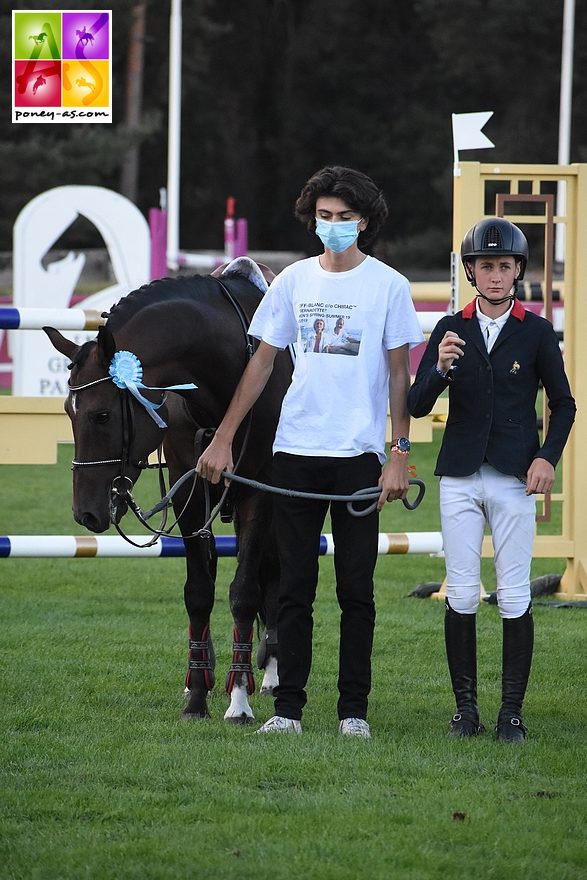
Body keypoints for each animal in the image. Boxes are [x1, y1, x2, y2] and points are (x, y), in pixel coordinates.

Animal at [44, 268, 294, 720]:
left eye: (102, 414)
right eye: (69, 412)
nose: (84, 513)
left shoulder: (260, 490)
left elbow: (245, 592)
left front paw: (239, 700)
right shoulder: (187, 488)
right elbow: (198, 593)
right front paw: (197, 695)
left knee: (274, 576)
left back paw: (267, 674)